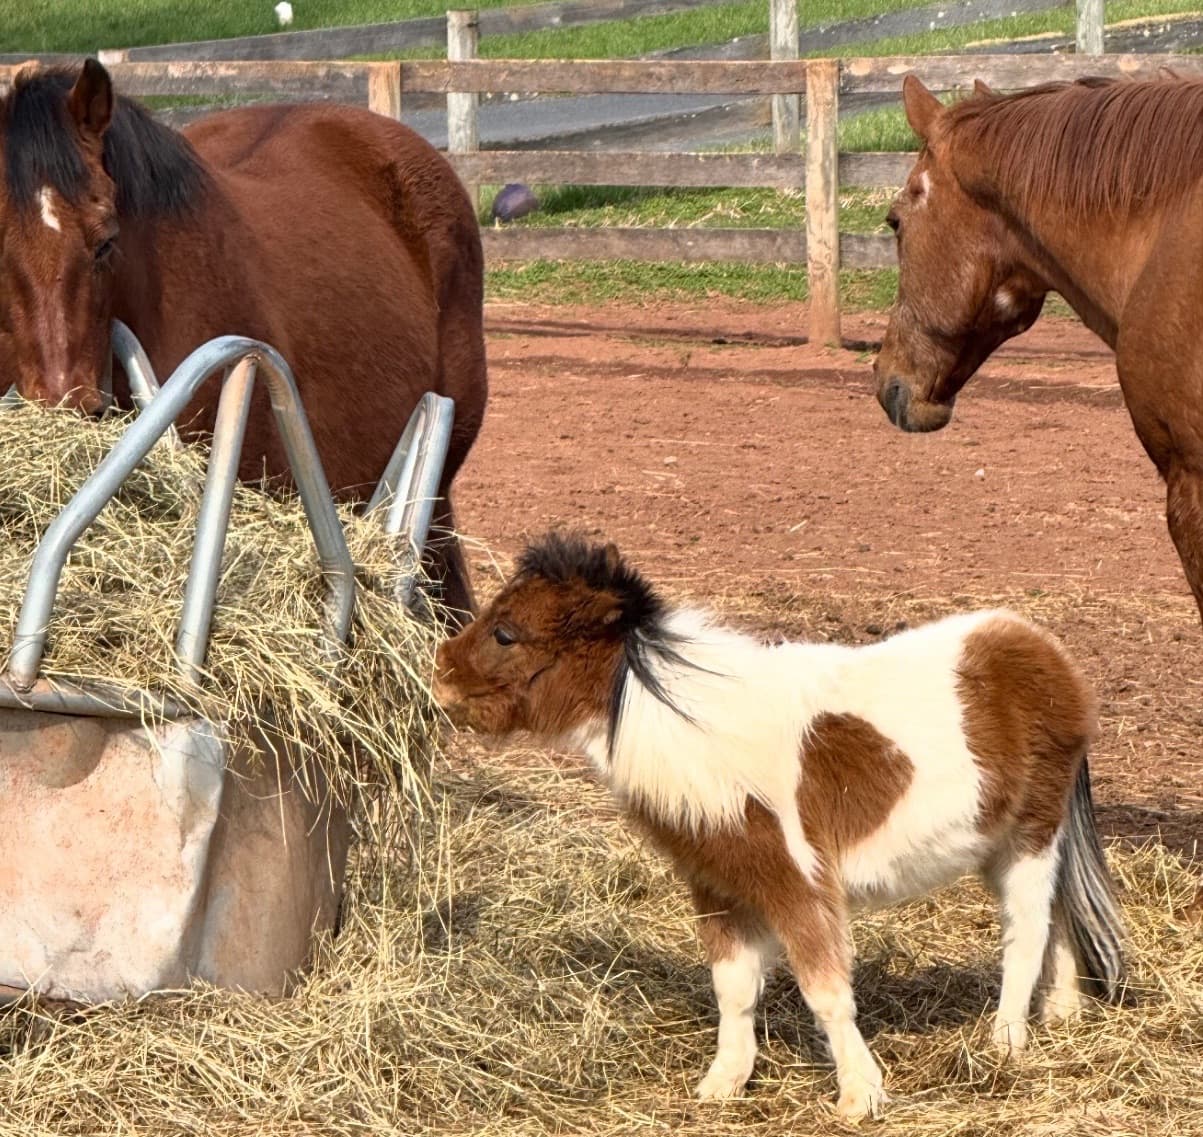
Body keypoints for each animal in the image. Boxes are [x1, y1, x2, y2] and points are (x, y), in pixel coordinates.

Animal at [433, 532, 1126, 1119]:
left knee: (1026, 931)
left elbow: (825, 991)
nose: (439, 678)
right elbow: (733, 988)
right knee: (1061, 914)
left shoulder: (796, 886)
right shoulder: (719, 886)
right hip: (1005, 843)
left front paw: (859, 1096)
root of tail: (1041, 649)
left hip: (1030, 837)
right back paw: (1062, 1014)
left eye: (506, 634)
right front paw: (723, 1084)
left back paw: (1005, 1043)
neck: (699, 732)